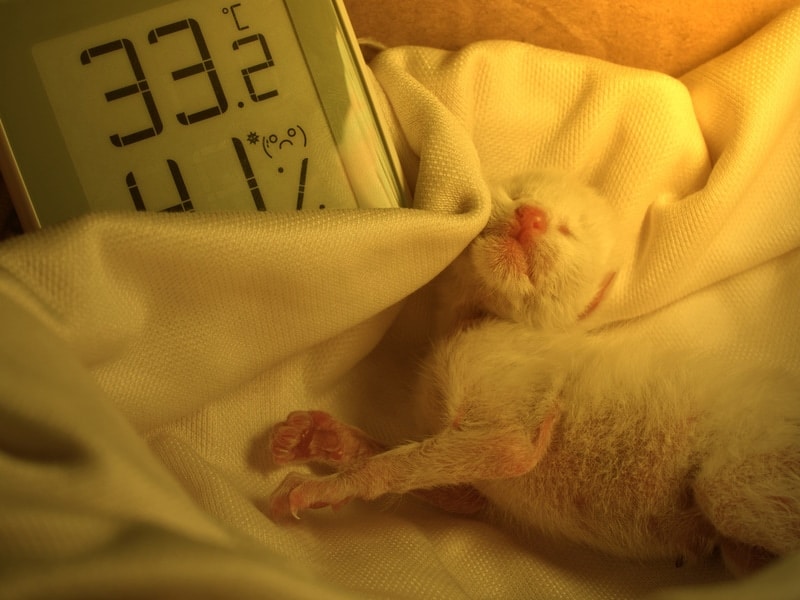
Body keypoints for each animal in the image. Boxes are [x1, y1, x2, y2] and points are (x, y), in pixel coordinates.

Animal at [270, 170, 800, 576]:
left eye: (569, 231)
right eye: (516, 191)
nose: (532, 216)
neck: (477, 319)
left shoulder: (508, 429)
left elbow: (486, 454)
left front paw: (326, 486)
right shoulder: (470, 483)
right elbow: (452, 490)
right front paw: (325, 439)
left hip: (736, 480)